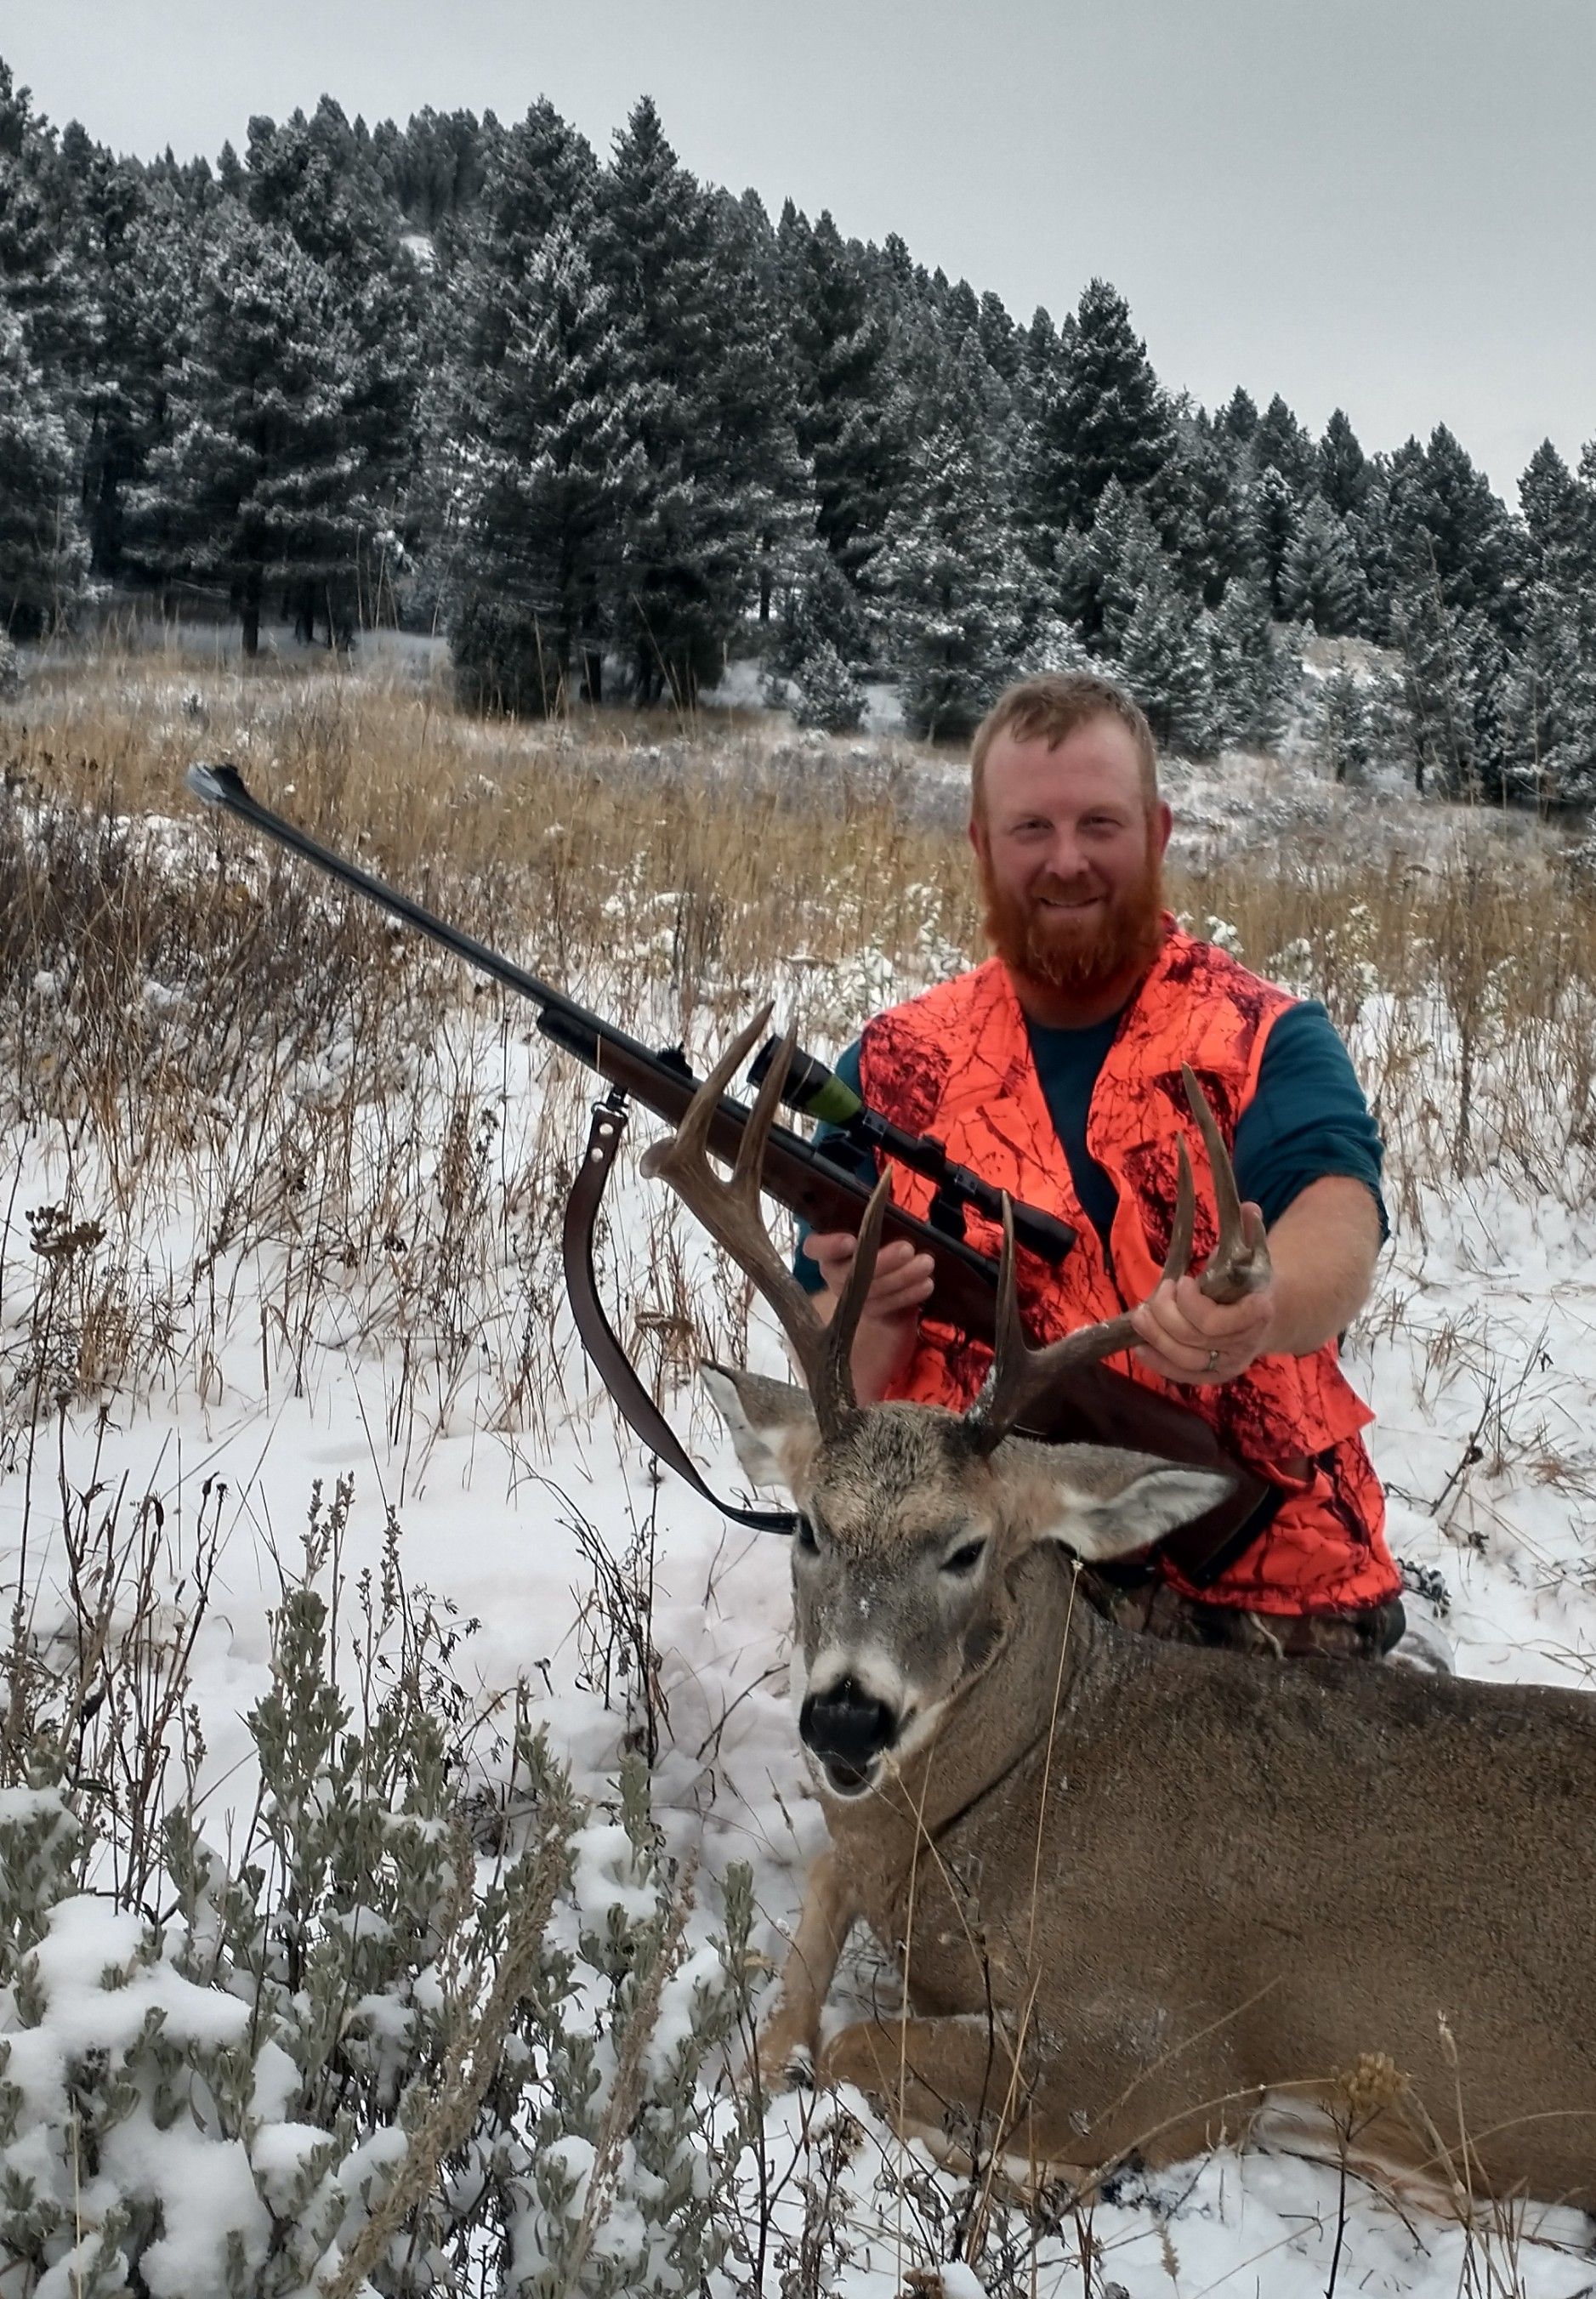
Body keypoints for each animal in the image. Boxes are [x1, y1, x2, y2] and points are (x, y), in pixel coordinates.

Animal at [639, 1007, 1596, 2213]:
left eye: (967, 1547)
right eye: (806, 1526)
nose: (845, 1718)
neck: (1004, 1799)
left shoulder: (1158, 2041)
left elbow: (860, 2044)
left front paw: (1020, 2169)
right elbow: (812, 1917)